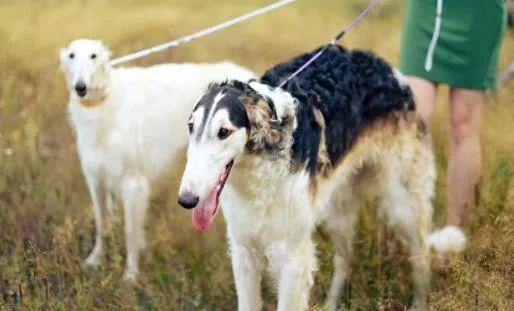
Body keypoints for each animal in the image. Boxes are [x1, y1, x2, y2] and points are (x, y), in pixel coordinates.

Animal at [59, 38, 255, 280]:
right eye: (71, 56)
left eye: (93, 56)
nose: (80, 87)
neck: (105, 102)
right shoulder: (96, 178)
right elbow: (102, 224)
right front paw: (95, 260)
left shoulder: (134, 184)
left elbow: (131, 232)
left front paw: (131, 274)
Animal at [176, 45, 464, 310]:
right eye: (190, 127)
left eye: (224, 132)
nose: (186, 200)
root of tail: (386, 68)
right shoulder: (244, 249)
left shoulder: (292, 256)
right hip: (337, 209)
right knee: (345, 257)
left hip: (402, 203)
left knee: (421, 256)